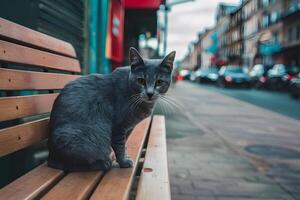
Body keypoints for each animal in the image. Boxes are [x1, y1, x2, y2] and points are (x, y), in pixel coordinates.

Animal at [45, 47, 175, 171]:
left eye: (159, 82)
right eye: (141, 80)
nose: (150, 93)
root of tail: (50, 155)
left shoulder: (128, 128)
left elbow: (124, 143)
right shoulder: (118, 127)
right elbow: (119, 145)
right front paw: (123, 162)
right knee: (70, 164)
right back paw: (103, 163)